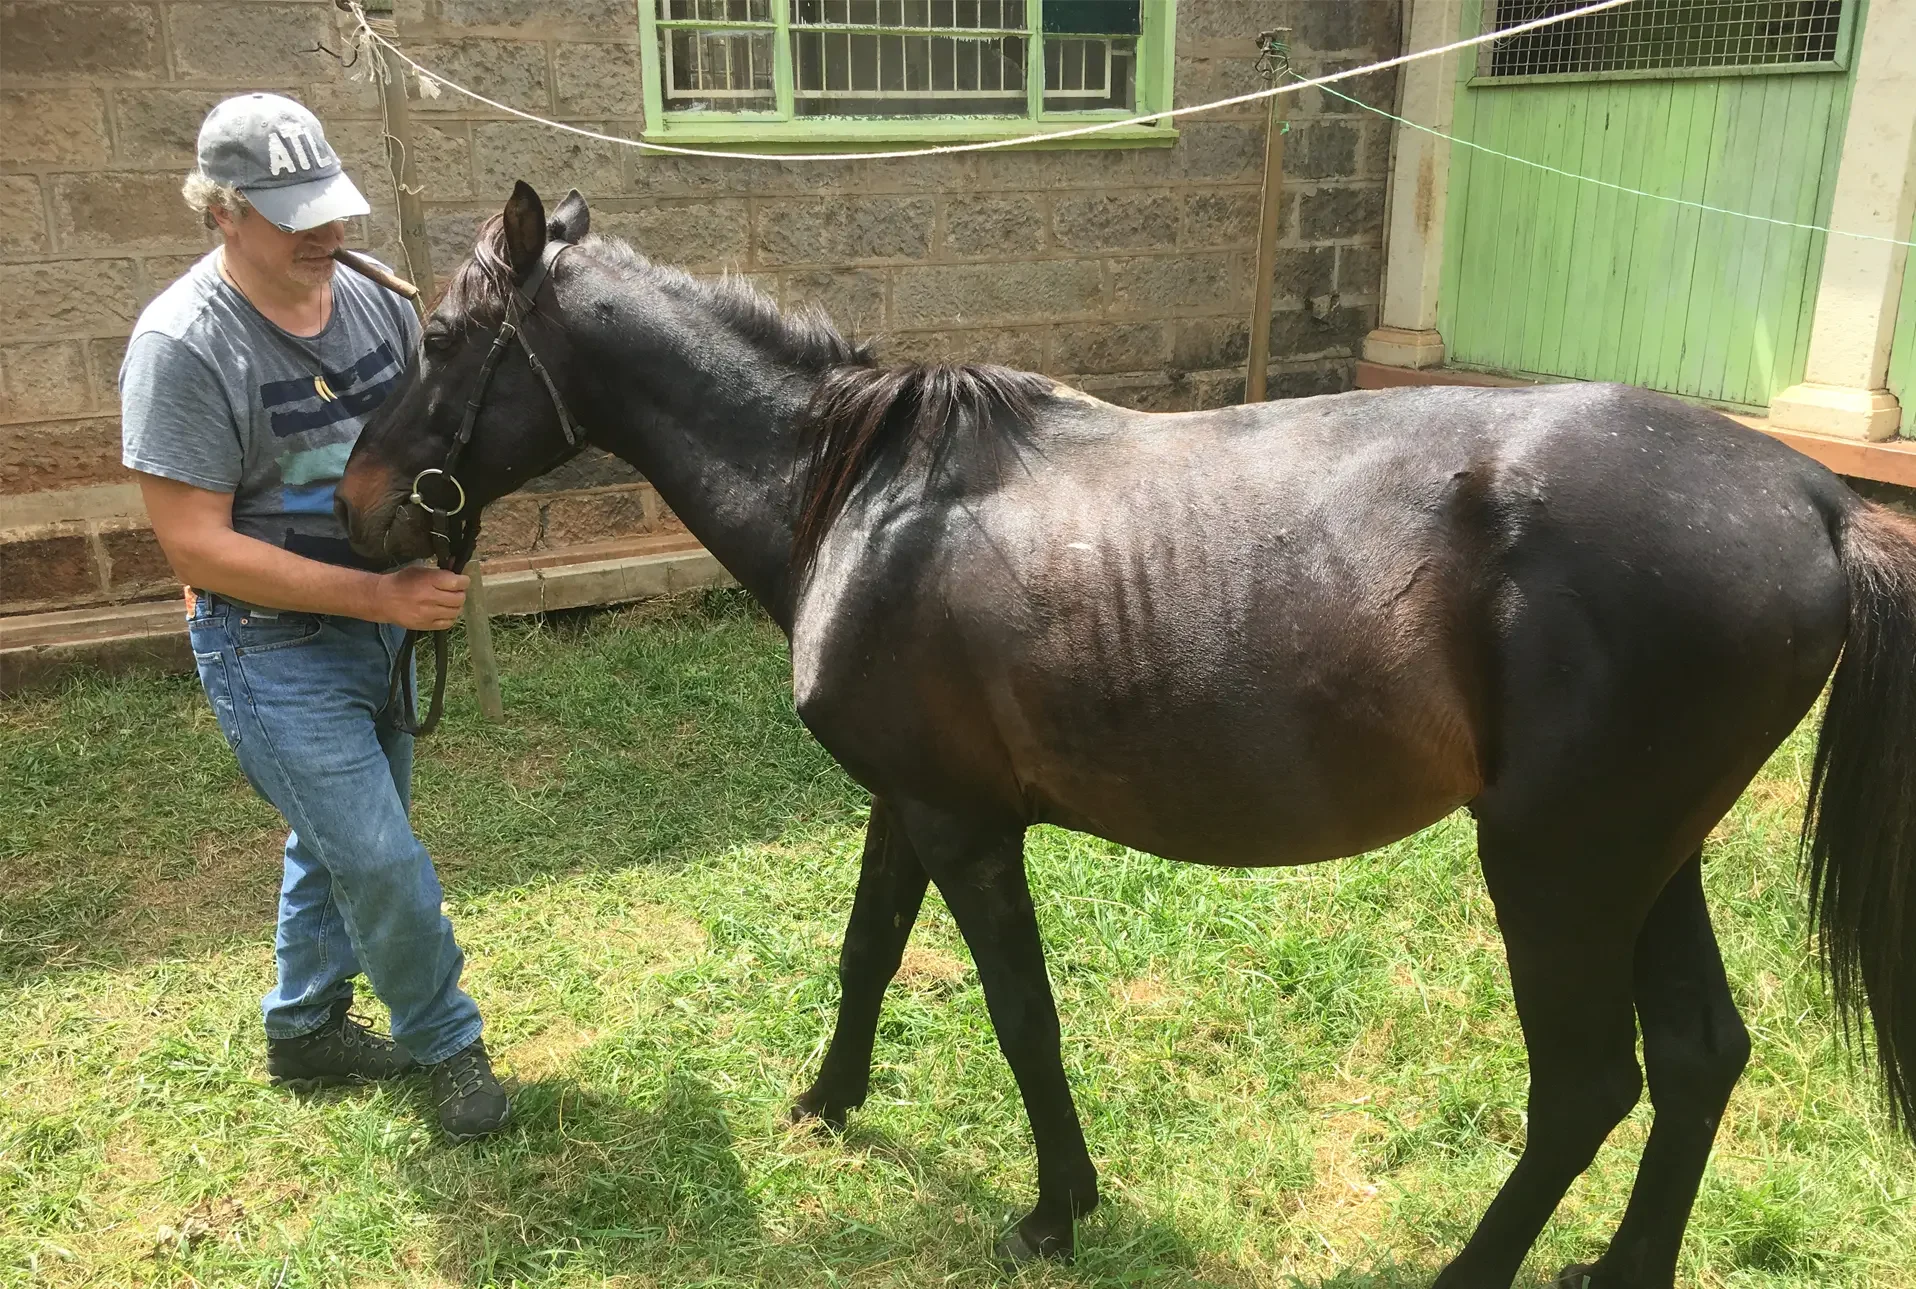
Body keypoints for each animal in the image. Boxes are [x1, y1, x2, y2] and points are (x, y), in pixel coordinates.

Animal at [338, 183, 1916, 1288]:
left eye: (441, 339)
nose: (356, 506)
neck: (862, 494)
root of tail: (1815, 501)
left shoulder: (966, 825)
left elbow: (1020, 1014)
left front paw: (1054, 1206)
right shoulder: (904, 804)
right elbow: (865, 954)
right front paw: (828, 1102)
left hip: (1558, 867)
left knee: (1589, 1084)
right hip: (1646, 860)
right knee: (1701, 1054)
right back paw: (1622, 1263)